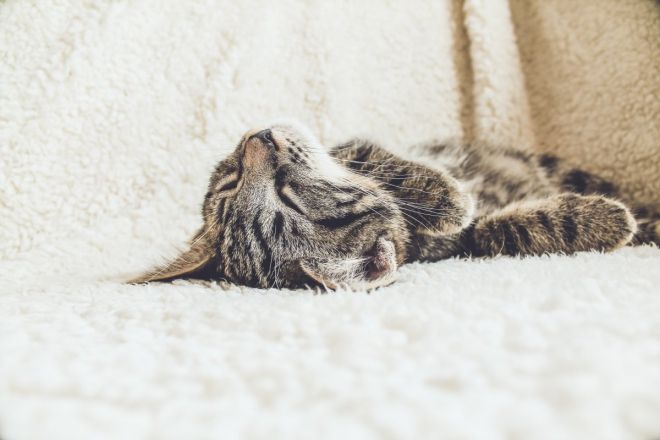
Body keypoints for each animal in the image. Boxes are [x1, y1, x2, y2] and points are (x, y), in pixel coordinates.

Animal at [130, 122, 660, 290]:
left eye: (231, 180)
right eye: (288, 195)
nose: (259, 139)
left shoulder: (357, 145)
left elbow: (384, 162)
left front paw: (446, 197)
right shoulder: (466, 244)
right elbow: (501, 231)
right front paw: (608, 222)